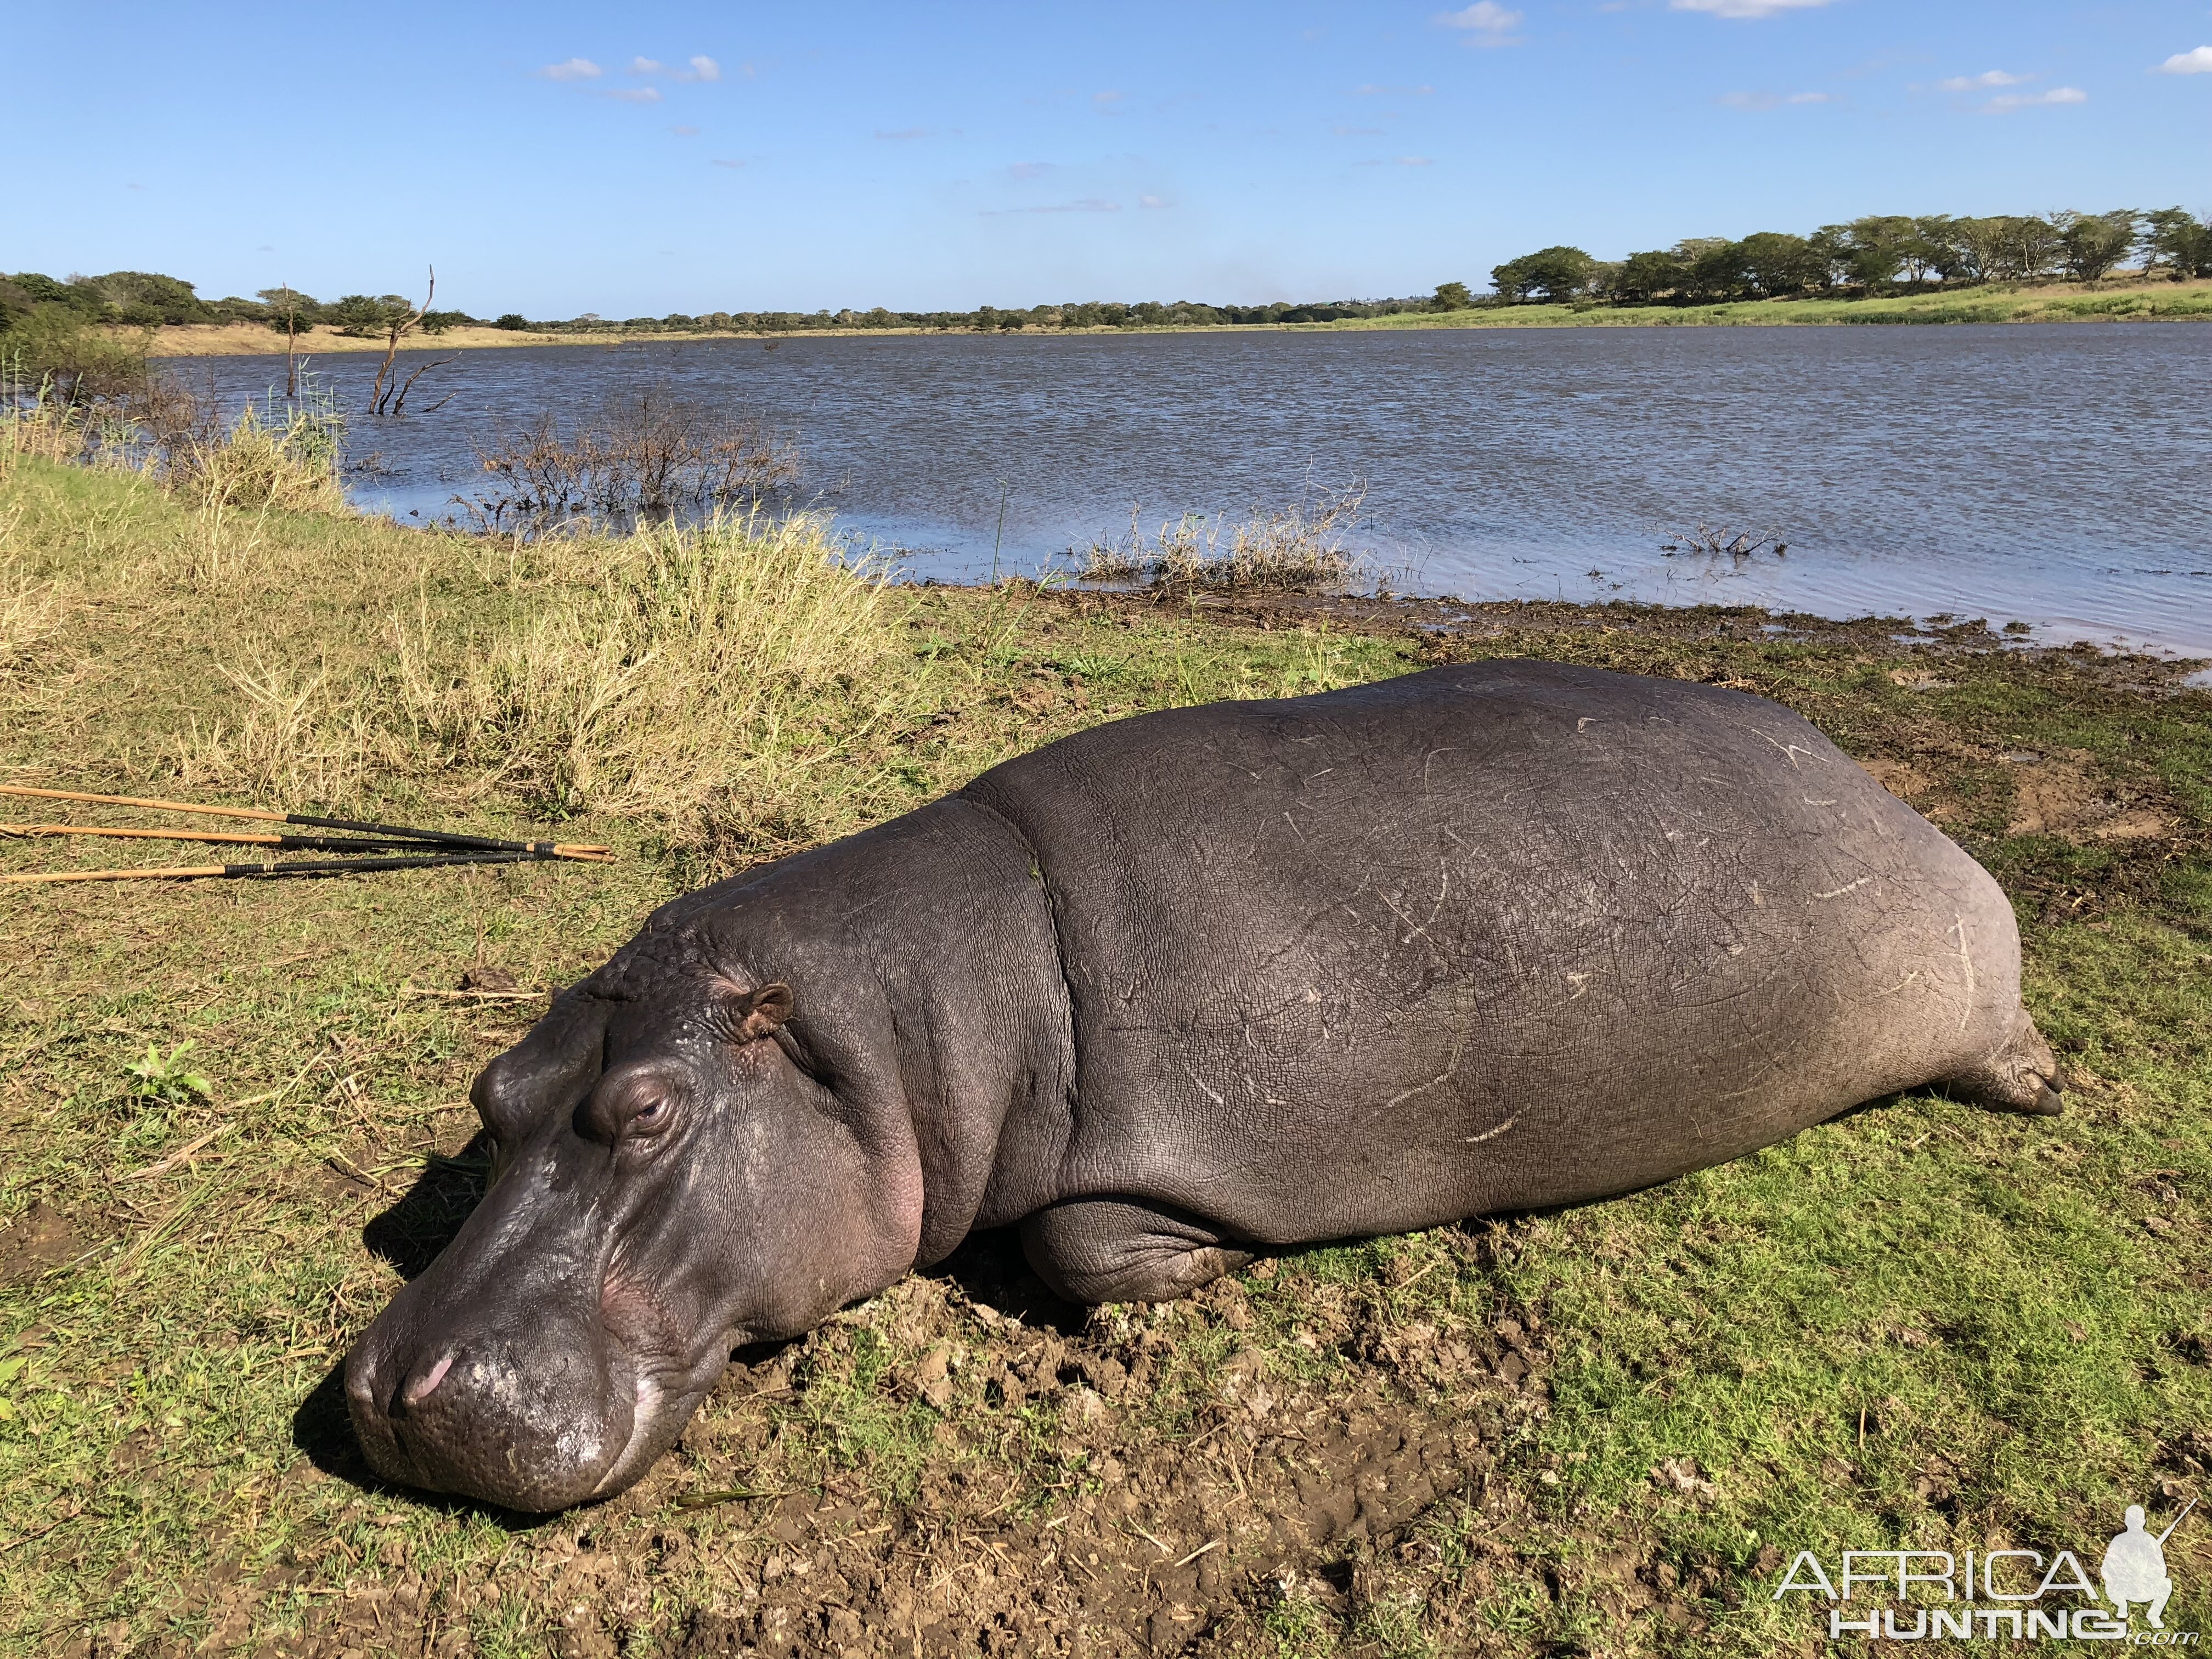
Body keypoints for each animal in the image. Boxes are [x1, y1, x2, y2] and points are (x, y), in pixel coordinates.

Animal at [345, 659, 2052, 1504]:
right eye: (495, 1090)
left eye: (646, 1114)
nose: (387, 1394)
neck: (890, 1033)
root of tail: (1875, 783)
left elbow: (1077, 1243)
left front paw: (1208, 1271)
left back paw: (2032, 1087)